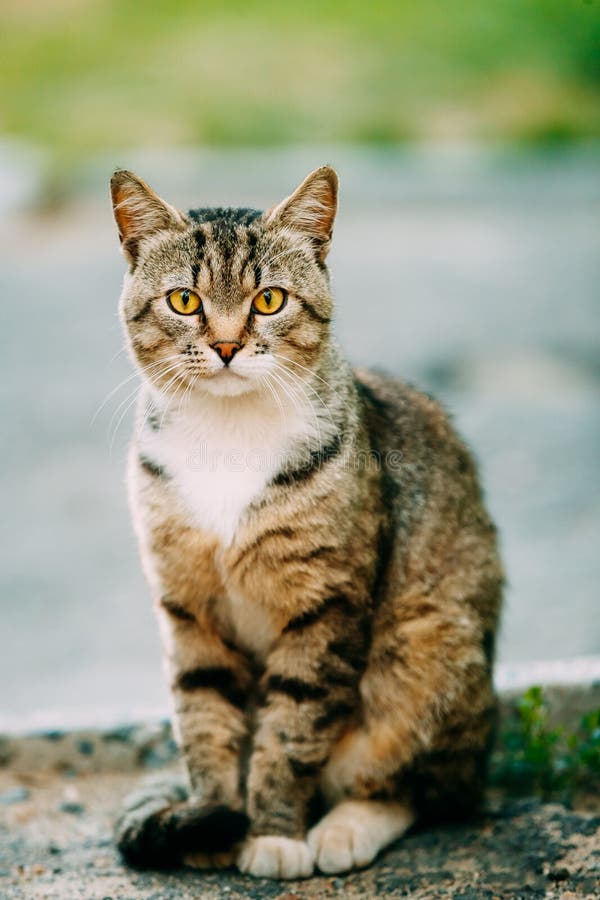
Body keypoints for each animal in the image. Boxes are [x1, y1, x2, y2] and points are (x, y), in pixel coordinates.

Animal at [111, 167, 502, 880]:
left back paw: (346, 826)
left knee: (425, 787)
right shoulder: (187, 607)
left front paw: (272, 834)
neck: (227, 437)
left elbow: (292, 729)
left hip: (428, 650)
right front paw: (214, 817)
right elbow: (204, 718)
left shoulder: (326, 606)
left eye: (269, 300)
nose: (227, 345)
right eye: (184, 300)